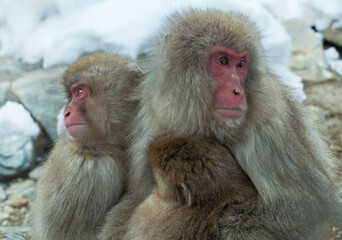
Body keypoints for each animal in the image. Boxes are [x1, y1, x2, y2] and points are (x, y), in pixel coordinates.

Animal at [99, 9, 340, 240]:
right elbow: (135, 196)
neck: (206, 121)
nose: (238, 91)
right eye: (223, 61)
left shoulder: (270, 124)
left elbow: (302, 207)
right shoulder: (153, 116)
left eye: (241, 64)